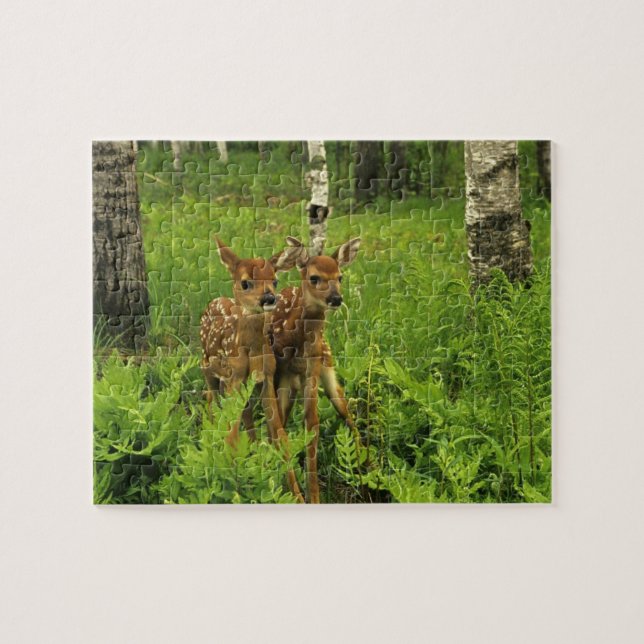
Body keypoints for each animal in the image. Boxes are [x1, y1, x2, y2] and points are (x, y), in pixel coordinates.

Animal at [200, 238, 304, 502]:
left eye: (275, 280)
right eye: (245, 282)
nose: (269, 298)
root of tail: (213, 301)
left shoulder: (265, 379)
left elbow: (280, 437)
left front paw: (298, 495)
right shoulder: (234, 378)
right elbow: (232, 436)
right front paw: (233, 486)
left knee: (246, 418)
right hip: (207, 368)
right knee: (211, 403)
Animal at [271, 236, 361, 503]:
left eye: (340, 276)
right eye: (314, 277)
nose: (336, 298)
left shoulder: (313, 365)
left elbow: (312, 424)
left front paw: (314, 496)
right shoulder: (278, 374)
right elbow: (279, 430)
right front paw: (295, 494)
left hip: (326, 363)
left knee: (345, 410)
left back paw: (366, 469)